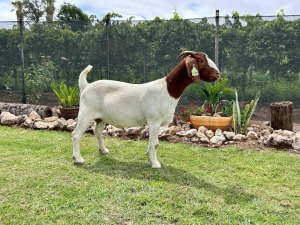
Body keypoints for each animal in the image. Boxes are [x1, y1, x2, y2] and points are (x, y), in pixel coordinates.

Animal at [71, 50, 219, 167]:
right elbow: (155, 143)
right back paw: (78, 158)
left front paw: (150, 158)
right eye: (200, 60)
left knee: (97, 131)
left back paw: (104, 150)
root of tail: (86, 86)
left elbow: (154, 143)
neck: (167, 90)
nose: (217, 74)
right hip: (85, 113)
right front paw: (155, 163)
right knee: (76, 134)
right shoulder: (154, 121)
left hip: (101, 117)